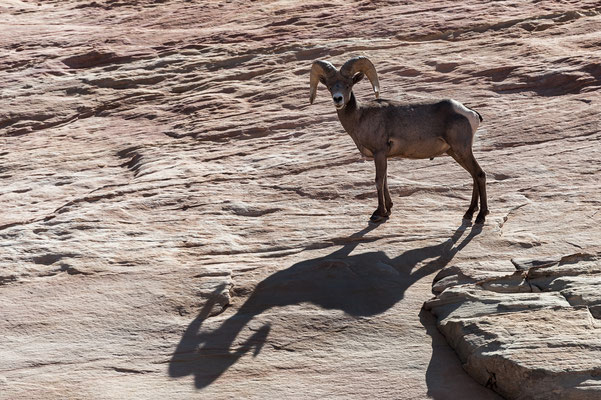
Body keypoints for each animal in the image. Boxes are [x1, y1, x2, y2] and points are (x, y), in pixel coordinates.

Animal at [310, 56, 488, 225]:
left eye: (348, 85)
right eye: (330, 86)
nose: (338, 99)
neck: (360, 116)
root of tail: (471, 113)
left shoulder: (379, 153)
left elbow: (378, 181)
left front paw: (378, 213)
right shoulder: (383, 157)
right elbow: (385, 180)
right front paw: (388, 209)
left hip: (462, 150)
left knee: (479, 174)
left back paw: (481, 216)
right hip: (455, 152)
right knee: (473, 175)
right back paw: (469, 213)